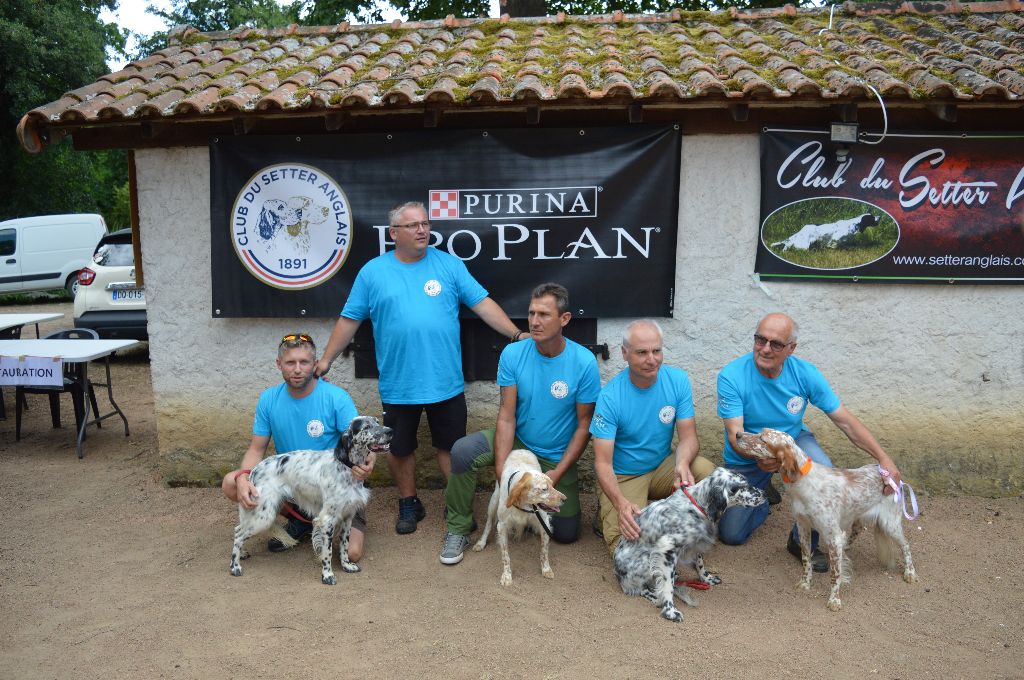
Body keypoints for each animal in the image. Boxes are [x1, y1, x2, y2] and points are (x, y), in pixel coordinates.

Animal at [229, 415, 391, 585]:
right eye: (366, 427)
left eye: (377, 422)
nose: (390, 431)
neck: (347, 466)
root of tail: (255, 469)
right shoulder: (327, 520)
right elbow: (327, 552)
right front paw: (327, 575)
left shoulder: (348, 517)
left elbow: (344, 546)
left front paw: (346, 565)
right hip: (264, 516)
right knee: (239, 533)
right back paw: (235, 566)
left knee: (238, 530)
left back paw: (242, 554)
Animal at [472, 449, 566, 587]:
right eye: (544, 489)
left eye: (553, 486)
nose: (565, 499)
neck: (524, 505)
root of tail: (521, 450)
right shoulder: (502, 526)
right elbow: (505, 555)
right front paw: (506, 575)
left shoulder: (544, 524)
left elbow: (544, 551)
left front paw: (546, 569)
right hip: (493, 502)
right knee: (488, 523)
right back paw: (481, 542)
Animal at [612, 467, 766, 622]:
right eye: (741, 486)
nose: (764, 494)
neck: (696, 506)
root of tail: (618, 576)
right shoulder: (667, 550)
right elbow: (667, 585)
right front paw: (670, 611)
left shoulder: (696, 542)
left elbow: (700, 563)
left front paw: (706, 578)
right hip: (646, 562)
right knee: (640, 589)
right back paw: (656, 597)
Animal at [733, 428, 918, 611]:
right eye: (759, 432)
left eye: (763, 439)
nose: (737, 435)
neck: (803, 482)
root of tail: (896, 478)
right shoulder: (803, 527)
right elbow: (806, 559)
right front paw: (805, 583)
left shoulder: (833, 536)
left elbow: (835, 574)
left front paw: (834, 600)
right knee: (857, 531)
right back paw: (847, 546)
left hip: (890, 524)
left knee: (906, 546)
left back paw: (910, 572)